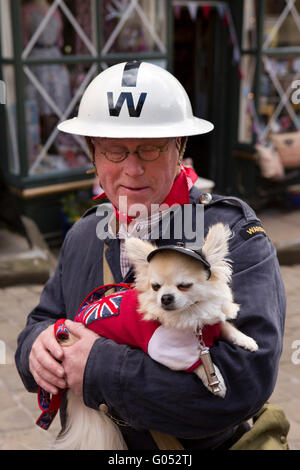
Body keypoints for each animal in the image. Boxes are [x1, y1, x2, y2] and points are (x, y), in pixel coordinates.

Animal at [52, 222, 258, 450]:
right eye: (156, 287)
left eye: (184, 285)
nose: (165, 297)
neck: (190, 315)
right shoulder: (166, 349)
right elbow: (198, 365)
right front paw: (217, 382)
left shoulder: (209, 323)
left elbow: (225, 326)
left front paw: (246, 340)